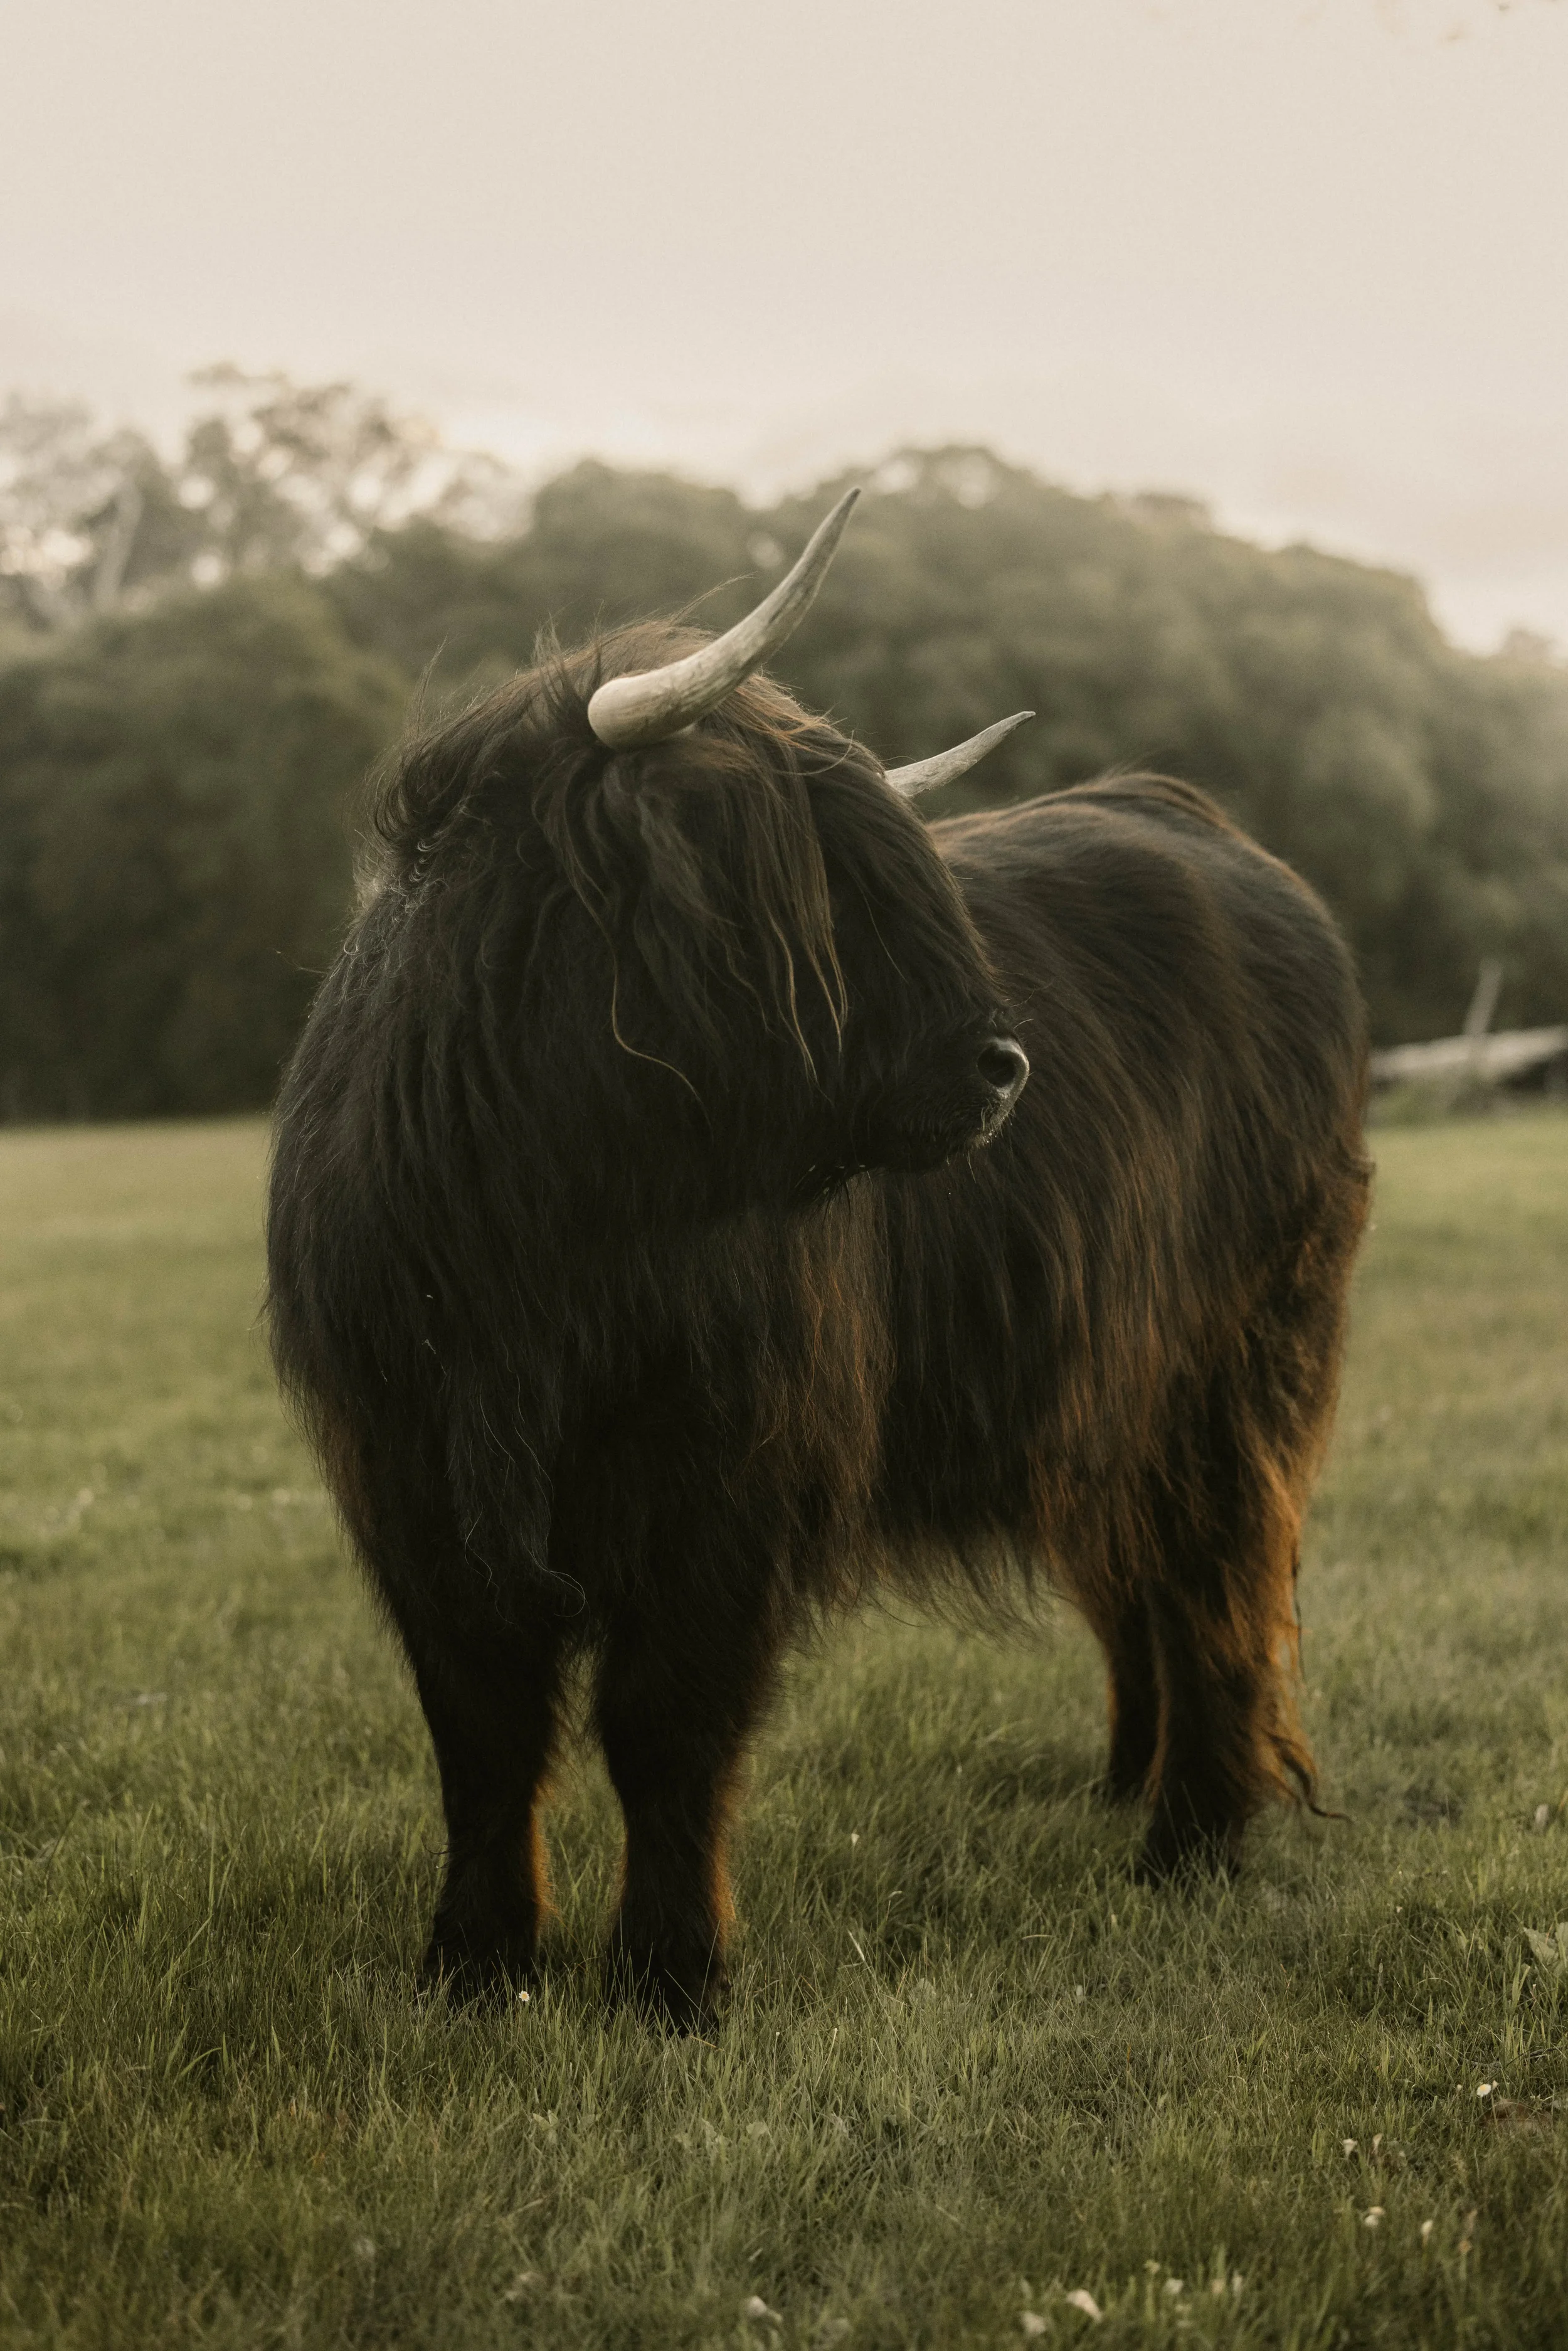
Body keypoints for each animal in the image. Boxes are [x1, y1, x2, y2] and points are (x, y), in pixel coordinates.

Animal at [267, 489, 1370, 2027]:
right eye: (793, 881)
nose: (1001, 1063)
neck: (537, 1241)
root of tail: (1201, 830)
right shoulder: (413, 1480)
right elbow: (482, 1732)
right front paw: (473, 1962)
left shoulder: (728, 1483)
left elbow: (666, 1725)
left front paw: (672, 1975)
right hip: (1108, 1390)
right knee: (1146, 1569)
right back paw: (1129, 1787)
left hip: (1234, 1363)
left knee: (1218, 1575)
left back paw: (1191, 1842)